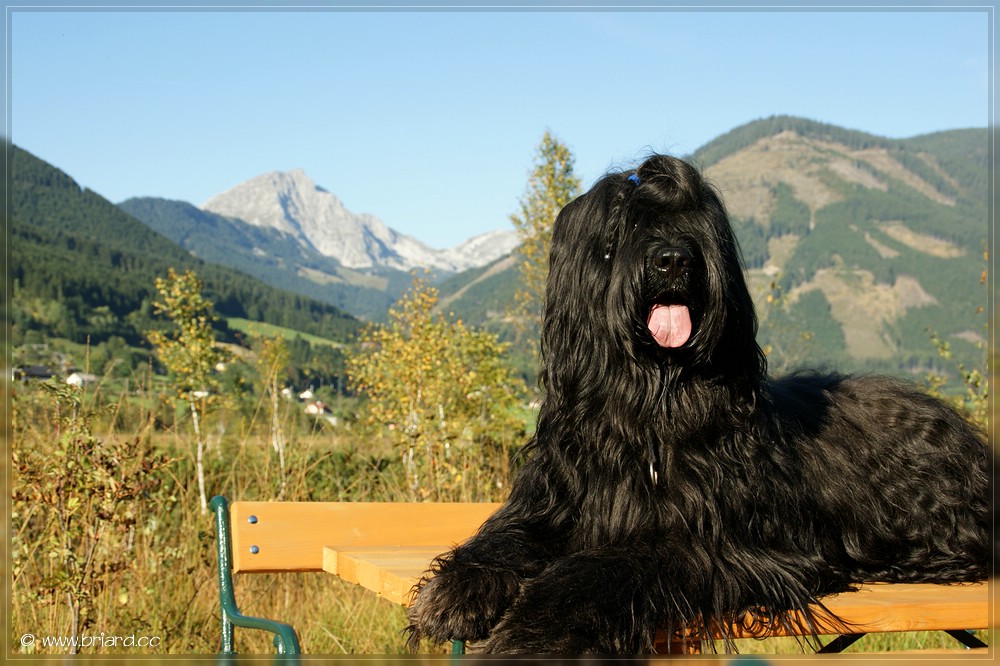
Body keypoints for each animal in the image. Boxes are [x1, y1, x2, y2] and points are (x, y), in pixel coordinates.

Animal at [404, 153, 992, 652]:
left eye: (694, 225)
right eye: (622, 227)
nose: (672, 259)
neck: (648, 405)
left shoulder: (720, 541)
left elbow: (603, 566)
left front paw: (532, 630)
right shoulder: (554, 502)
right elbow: (504, 536)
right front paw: (456, 590)